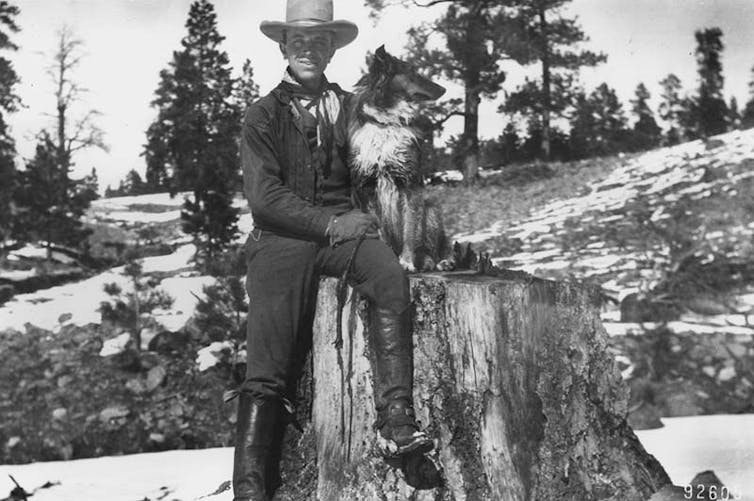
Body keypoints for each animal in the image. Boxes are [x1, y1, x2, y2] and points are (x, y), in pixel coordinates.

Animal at [348, 46, 452, 272]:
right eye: (411, 71)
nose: (443, 89)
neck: (385, 124)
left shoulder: (410, 184)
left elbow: (409, 230)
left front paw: (406, 262)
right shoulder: (368, 188)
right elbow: (380, 231)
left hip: (431, 208)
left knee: (436, 247)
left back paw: (439, 261)